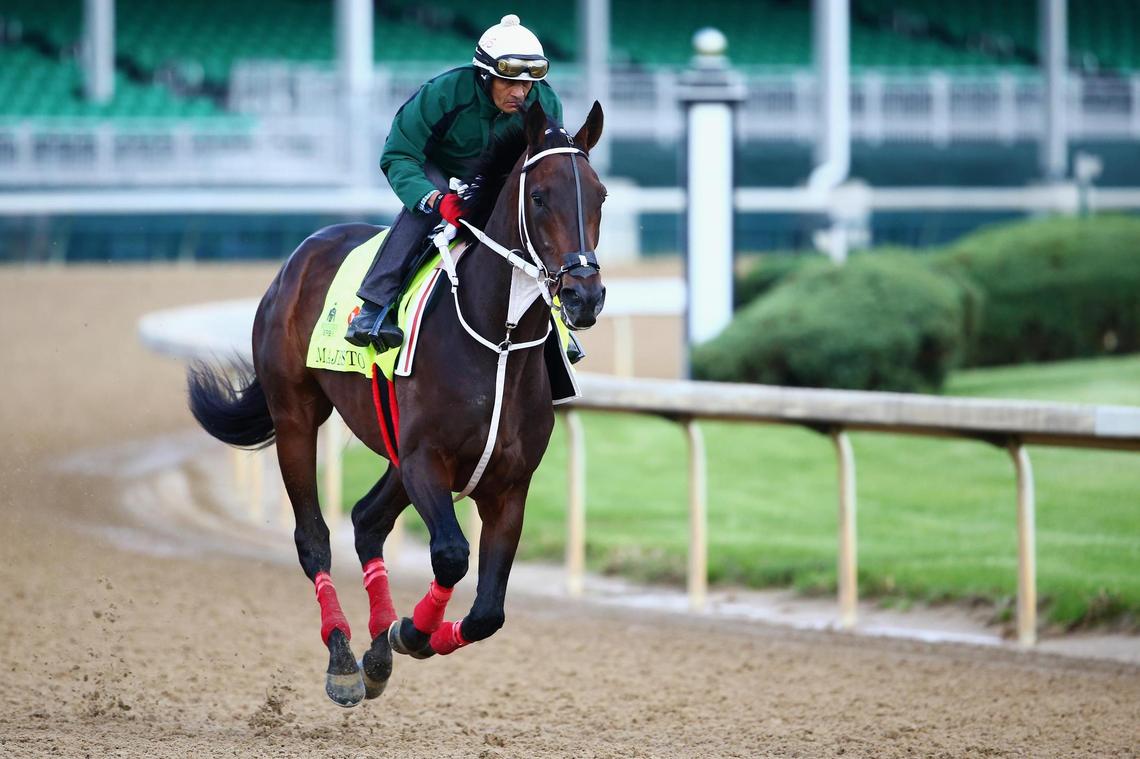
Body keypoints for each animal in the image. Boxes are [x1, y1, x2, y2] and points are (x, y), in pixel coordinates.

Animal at [186, 101, 607, 707]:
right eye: (539, 197)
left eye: (600, 195)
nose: (584, 295)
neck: (498, 338)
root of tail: (303, 254)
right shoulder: (426, 460)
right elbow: (452, 554)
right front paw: (409, 630)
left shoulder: (508, 483)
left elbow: (488, 612)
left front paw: (405, 635)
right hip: (296, 416)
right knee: (314, 538)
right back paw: (343, 659)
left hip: (392, 450)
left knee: (366, 520)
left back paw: (377, 651)